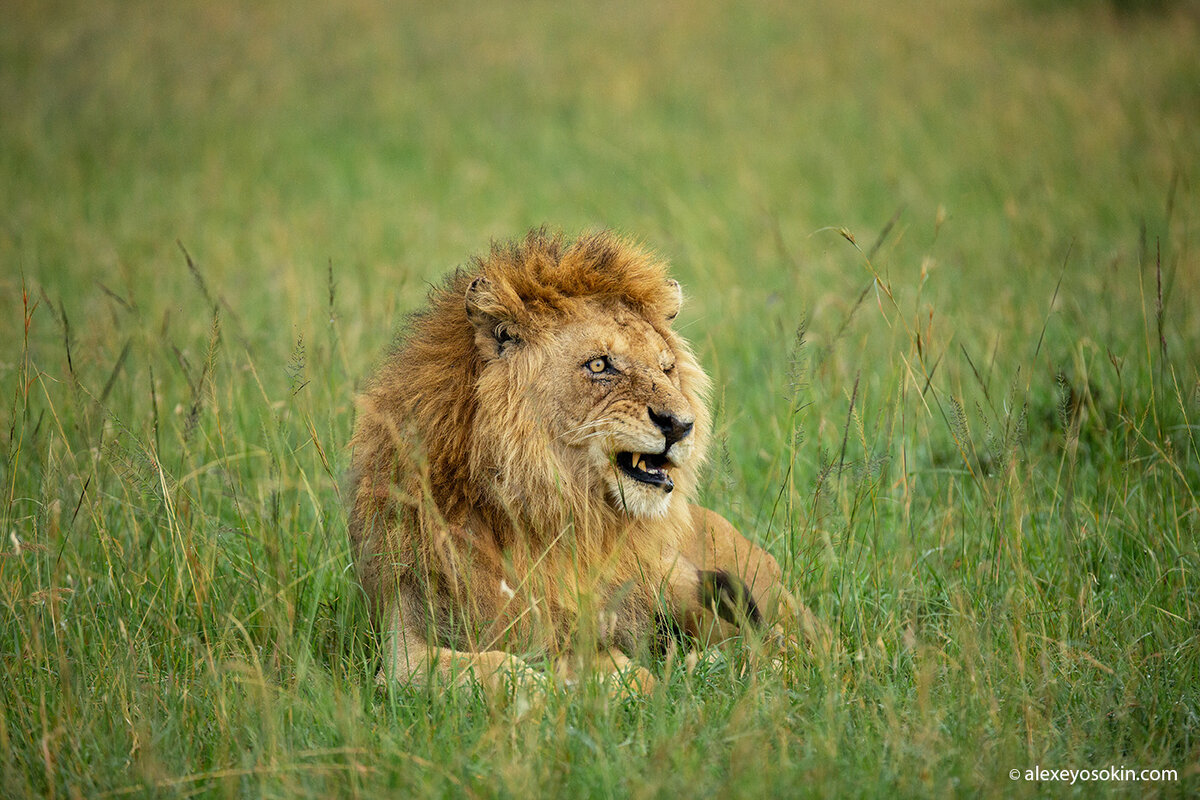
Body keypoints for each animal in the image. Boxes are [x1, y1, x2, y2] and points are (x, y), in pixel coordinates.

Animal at [345, 227, 816, 690]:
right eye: (600, 365)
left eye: (666, 369)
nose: (682, 426)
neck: (548, 512)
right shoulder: (403, 640)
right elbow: (495, 668)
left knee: (788, 645)